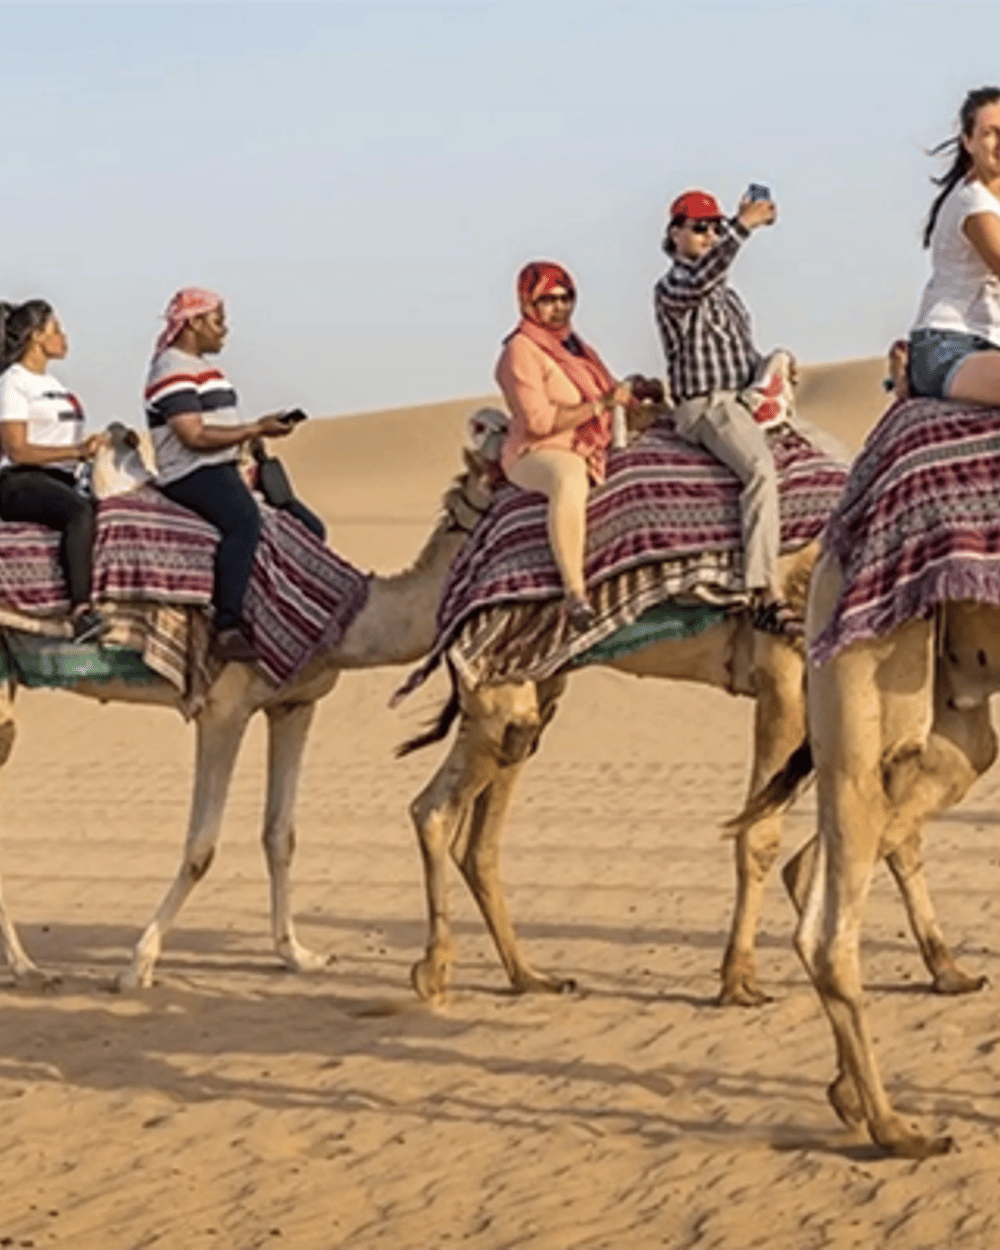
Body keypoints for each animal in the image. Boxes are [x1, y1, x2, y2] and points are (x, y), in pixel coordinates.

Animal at [0, 430, 497, 990]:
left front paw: (298, 954)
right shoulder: (223, 709)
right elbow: (201, 846)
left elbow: (280, 834)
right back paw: (27, 967)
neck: (344, 620)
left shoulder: (294, 705)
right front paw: (138, 965)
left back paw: (24, 966)